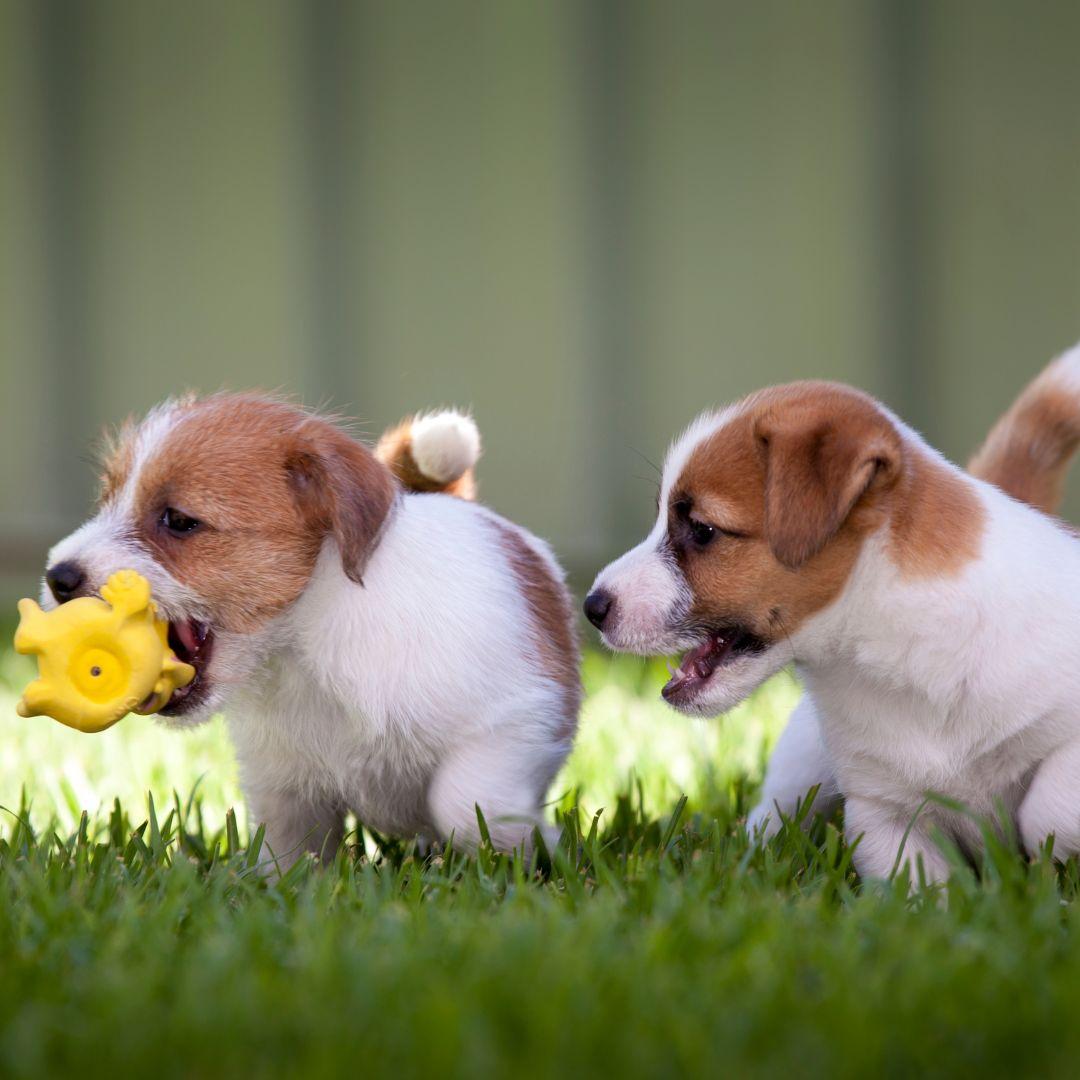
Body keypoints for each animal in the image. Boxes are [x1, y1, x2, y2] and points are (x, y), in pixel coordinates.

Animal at [44, 395, 583, 859]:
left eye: (177, 520)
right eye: (107, 502)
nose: (58, 577)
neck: (305, 645)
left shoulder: (516, 723)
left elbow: (466, 806)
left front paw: (538, 848)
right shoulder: (284, 788)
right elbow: (288, 854)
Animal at [591, 347, 1080, 885]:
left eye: (702, 529)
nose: (592, 607)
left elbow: (1049, 808)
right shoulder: (884, 811)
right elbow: (916, 887)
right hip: (801, 763)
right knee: (768, 816)